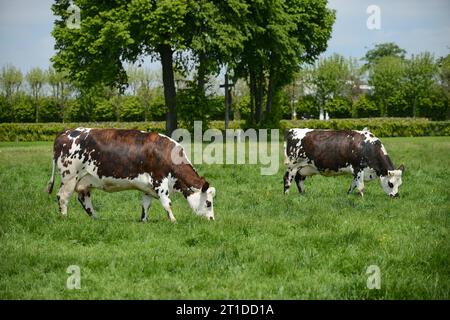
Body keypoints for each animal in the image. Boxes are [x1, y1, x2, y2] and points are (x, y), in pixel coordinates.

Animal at [46, 127, 215, 222]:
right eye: (208, 203)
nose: (212, 219)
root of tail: (65, 132)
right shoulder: (159, 181)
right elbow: (167, 203)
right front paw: (173, 220)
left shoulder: (148, 188)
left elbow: (146, 205)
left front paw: (144, 221)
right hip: (69, 177)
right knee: (62, 197)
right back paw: (65, 218)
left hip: (85, 180)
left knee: (84, 200)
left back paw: (96, 218)